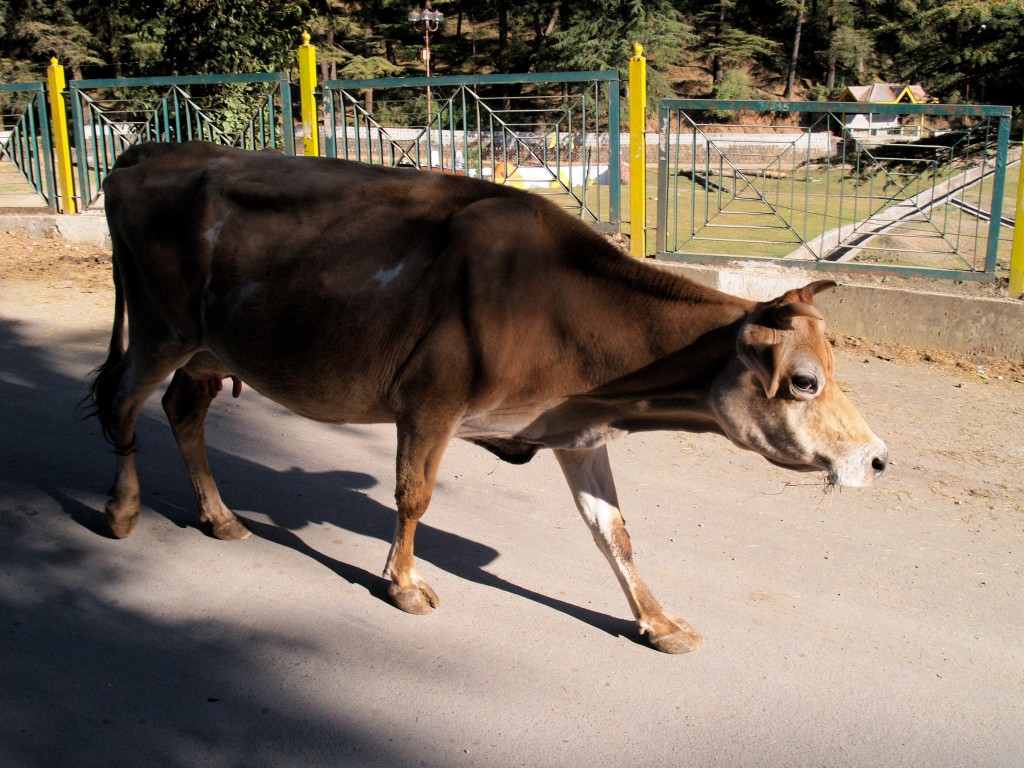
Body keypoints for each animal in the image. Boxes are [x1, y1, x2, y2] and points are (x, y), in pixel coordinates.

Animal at [90, 141, 887, 654]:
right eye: (806, 381)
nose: (878, 458)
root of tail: (151, 151)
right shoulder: (429, 402)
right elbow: (412, 497)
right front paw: (402, 584)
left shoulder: (576, 429)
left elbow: (614, 532)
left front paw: (656, 622)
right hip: (161, 327)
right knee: (123, 403)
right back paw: (122, 510)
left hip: (207, 346)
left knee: (182, 411)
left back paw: (220, 516)